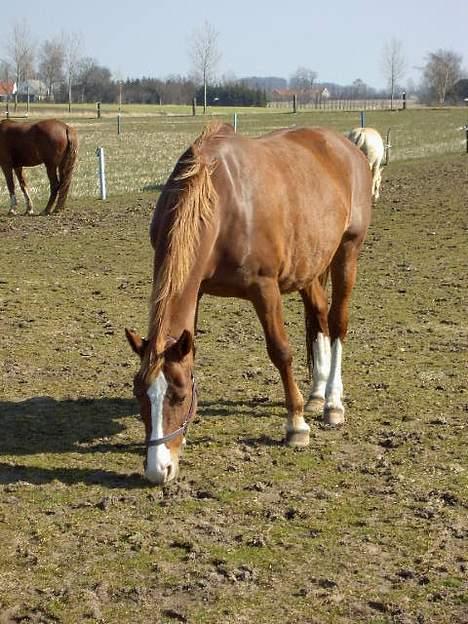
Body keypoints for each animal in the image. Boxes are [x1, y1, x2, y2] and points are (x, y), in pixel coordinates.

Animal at [125, 120, 372, 482]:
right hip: (310, 266)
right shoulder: (198, 288)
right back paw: (316, 394)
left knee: (338, 322)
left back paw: (332, 403)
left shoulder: (264, 288)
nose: (159, 470)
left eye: (179, 395)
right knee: (320, 316)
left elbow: (281, 352)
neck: (222, 202)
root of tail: (347, 146)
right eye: (140, 394)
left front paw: (296, 425)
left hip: (347, 251)